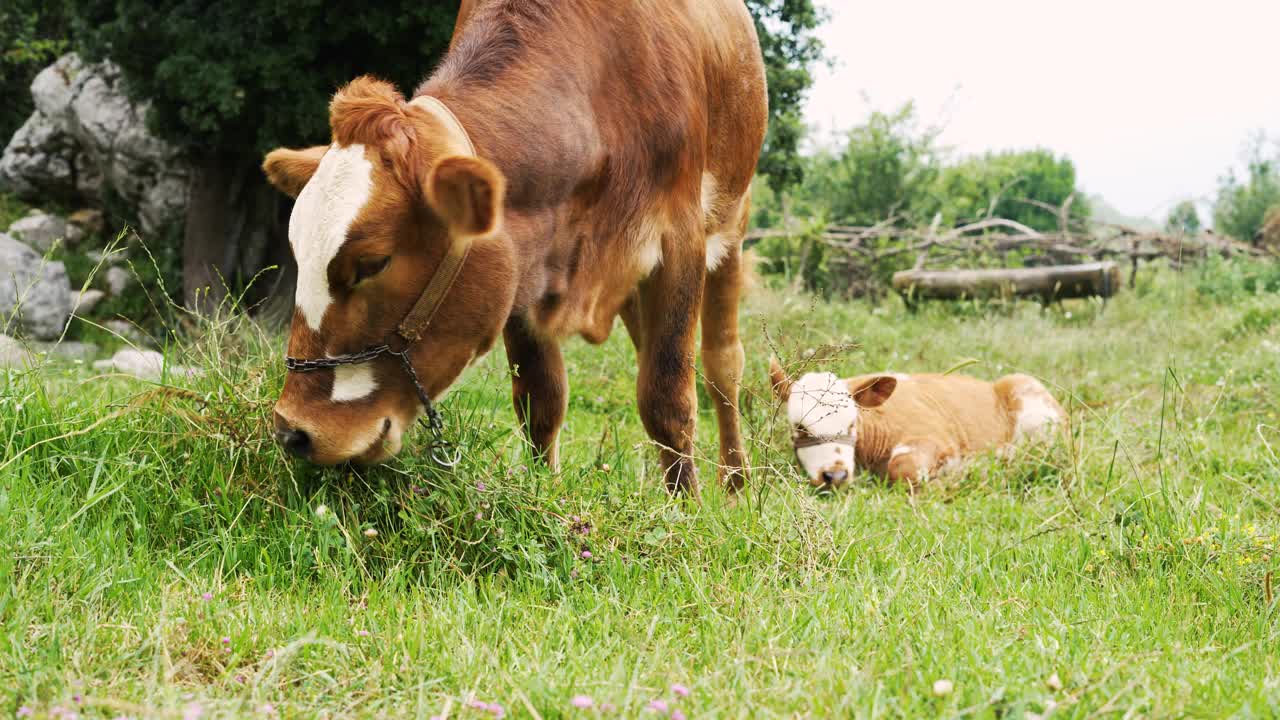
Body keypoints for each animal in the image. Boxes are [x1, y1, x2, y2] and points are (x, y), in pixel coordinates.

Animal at [254, 0, 762, 497]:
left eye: (372, 263)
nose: (293, 430)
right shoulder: (524, 261)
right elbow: (541, 399)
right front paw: (541, 493)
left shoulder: (679, 240)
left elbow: (667, 395)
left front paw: (685, 508)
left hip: (731, 226)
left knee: (721, 365)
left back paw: (735, 483)